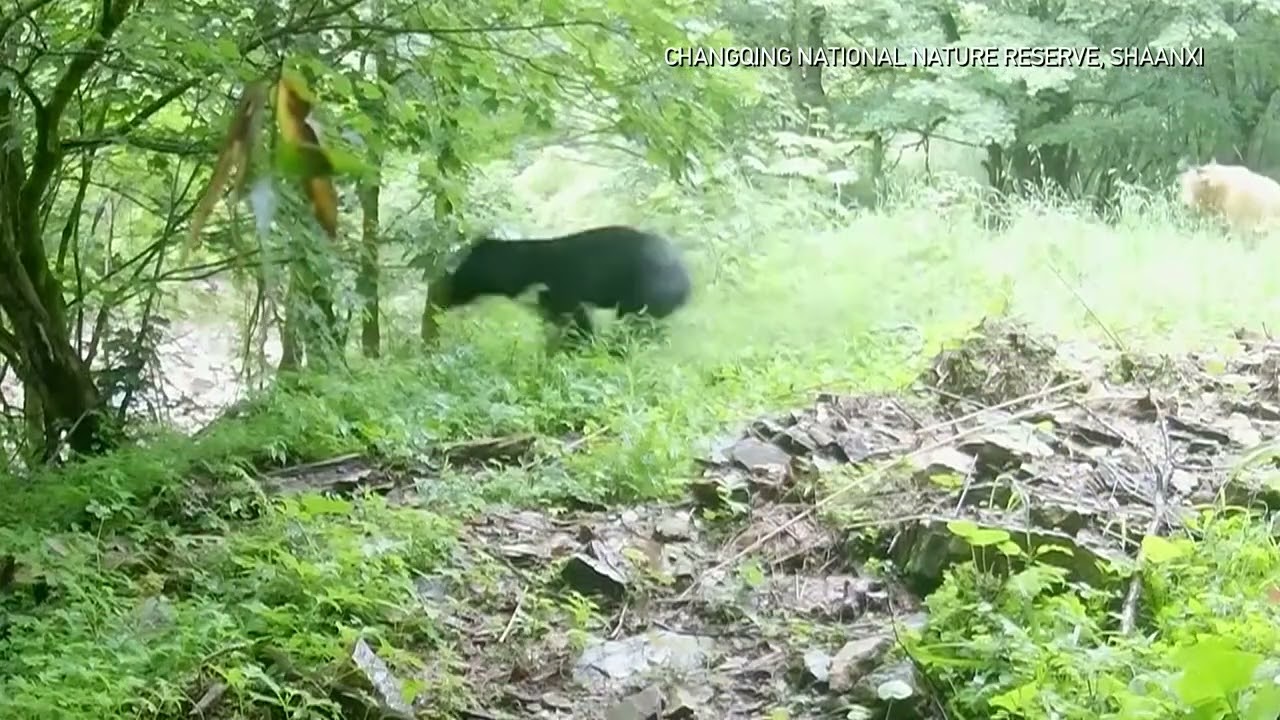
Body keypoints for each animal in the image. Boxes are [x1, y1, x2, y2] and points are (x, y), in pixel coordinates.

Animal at [428, 224, 692, 349]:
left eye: (463, 272)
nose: (441, 295)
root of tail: (687, 281)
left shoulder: (562, 293)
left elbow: (576, 323)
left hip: (647, 289)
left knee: (636, 323)